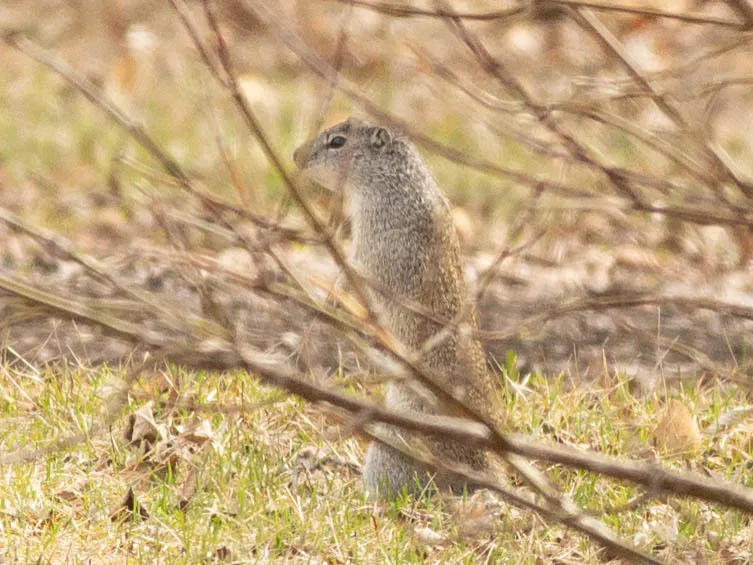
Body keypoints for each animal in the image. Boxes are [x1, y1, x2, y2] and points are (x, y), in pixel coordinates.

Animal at [293, 117, 503, 497]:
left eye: (337, 142)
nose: (294, 155)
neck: (394, 181)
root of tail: (487, 470)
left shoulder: (372, 248)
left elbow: (355, 275)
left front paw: (331, 300)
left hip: (391, 445)